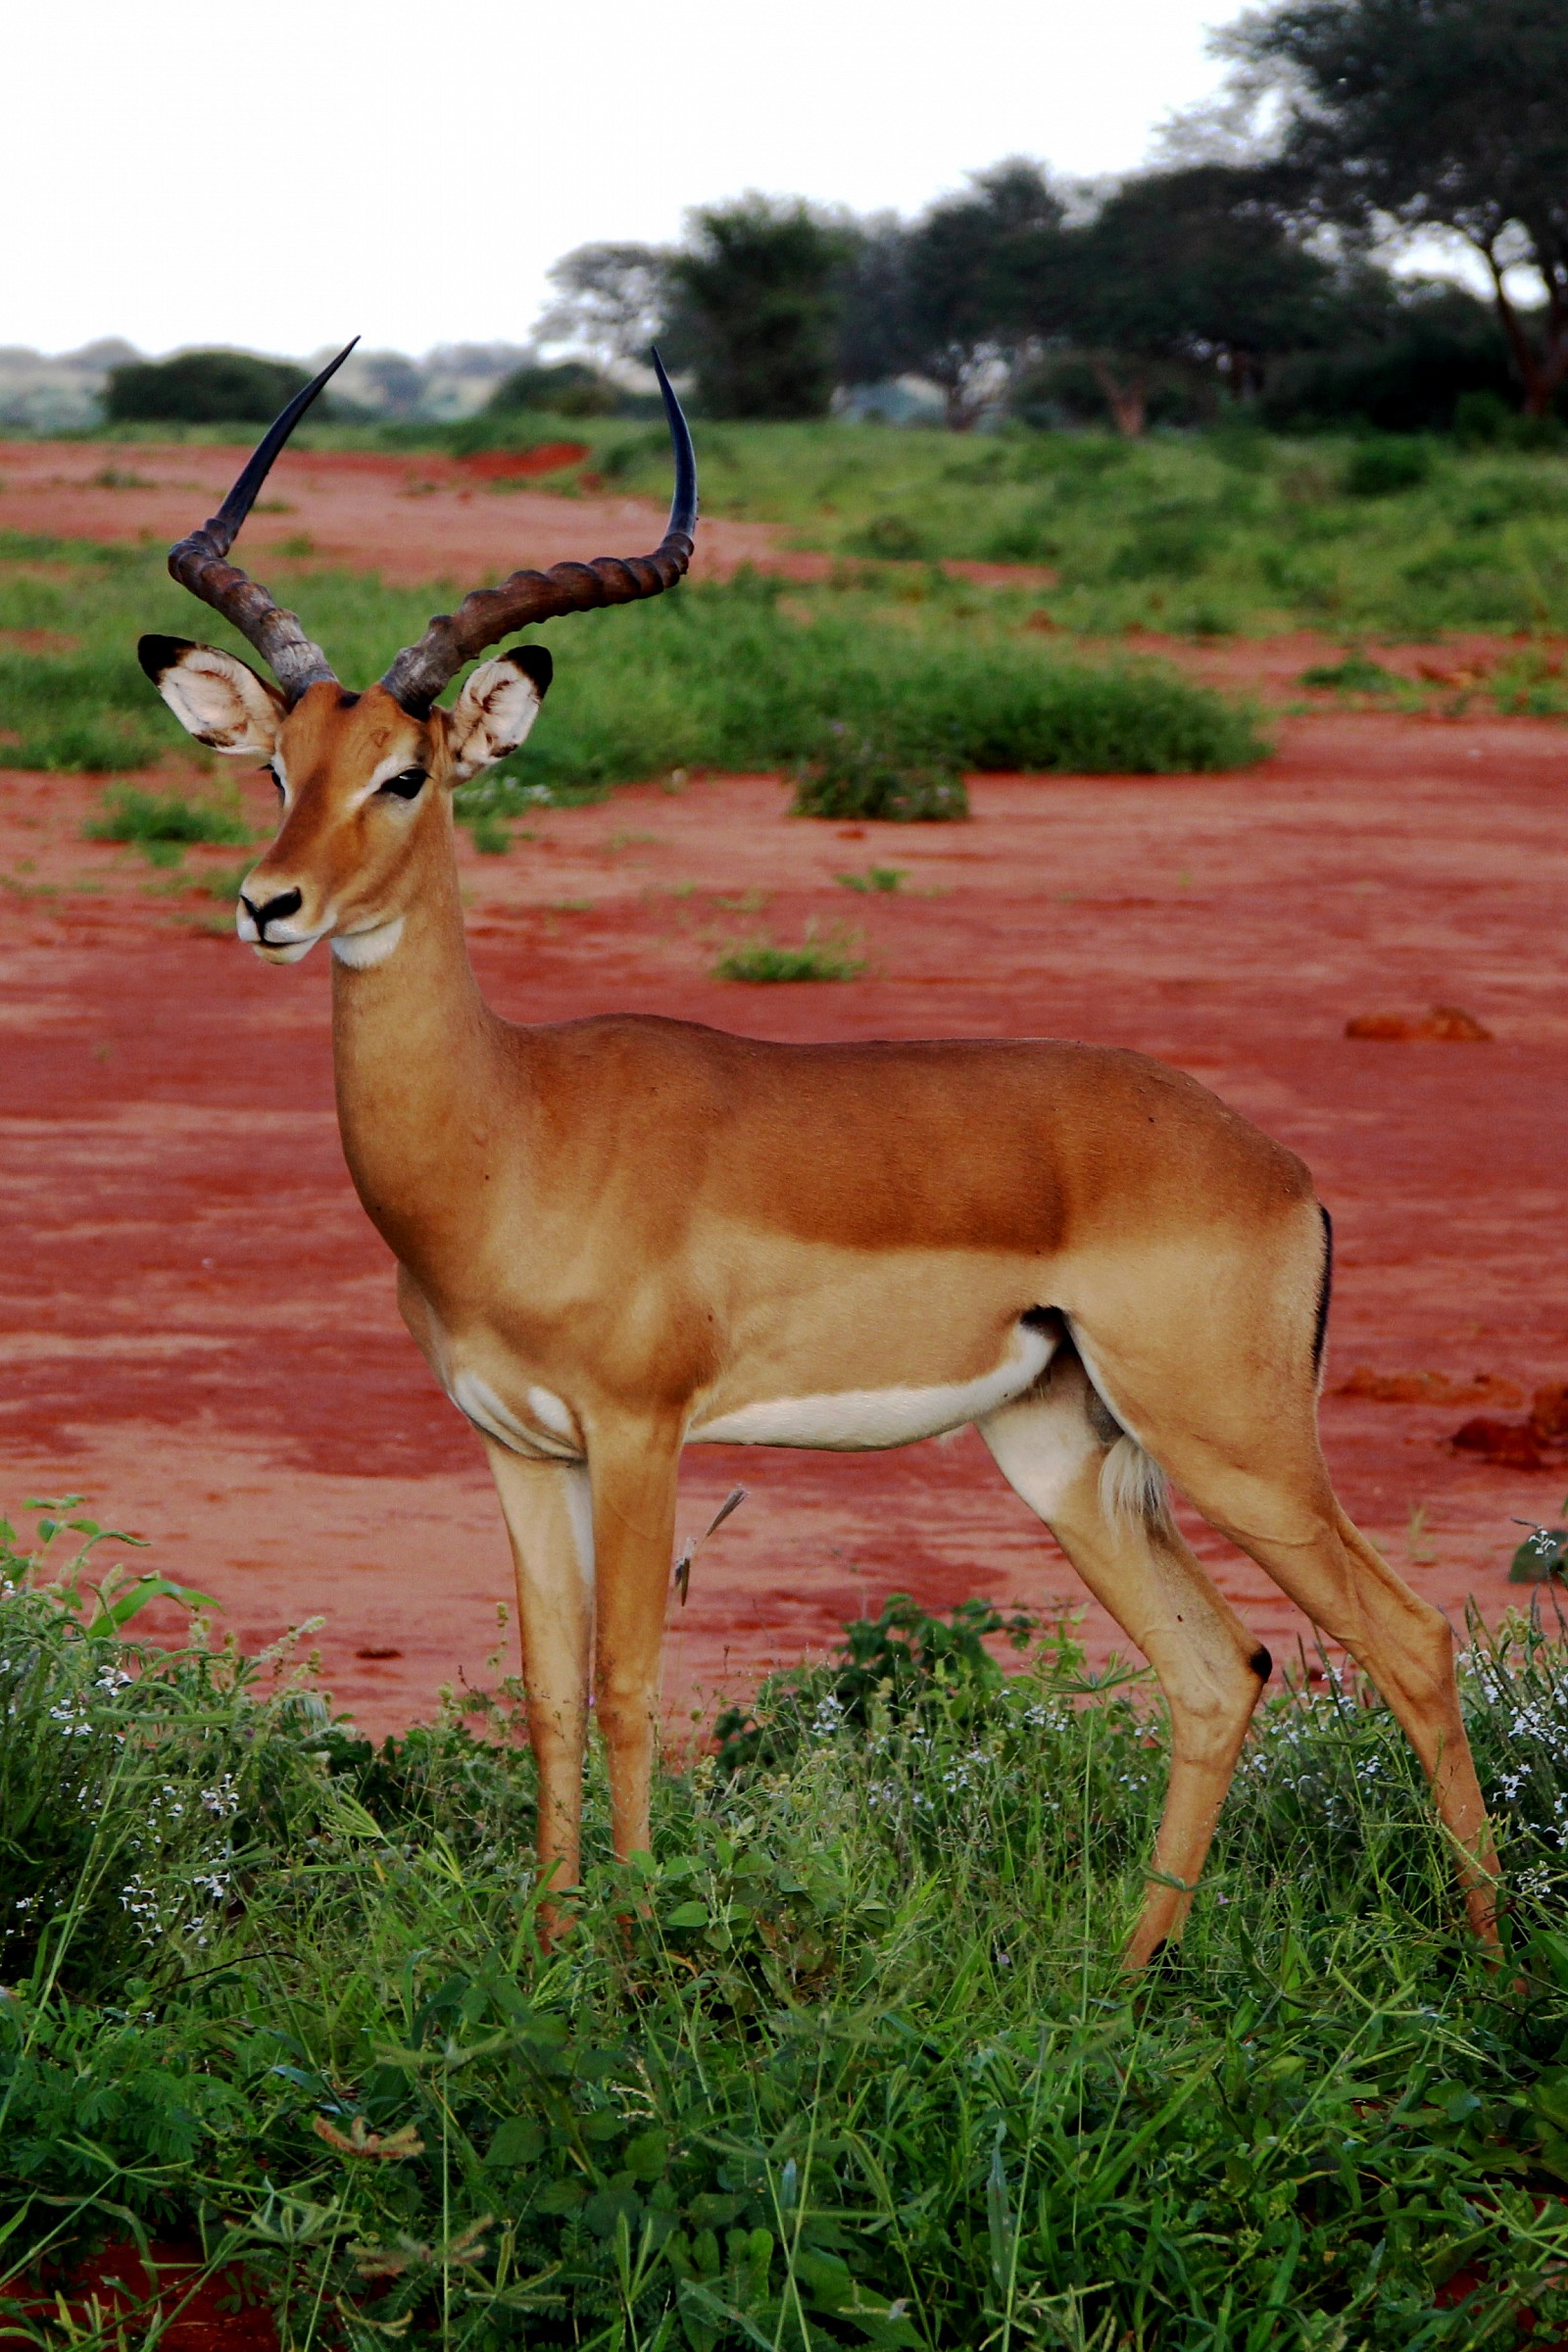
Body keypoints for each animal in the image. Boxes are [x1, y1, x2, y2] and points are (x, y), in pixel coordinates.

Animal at [138, 343, 1499, 1964]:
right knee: (1220, 1670)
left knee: (1412, 1639)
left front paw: (633, 1969)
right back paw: (1129, 1976)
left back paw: (1489, 1967)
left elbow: (626, 1687)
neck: (516, 1126)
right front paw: (548, 1961)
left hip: (1237, 1444)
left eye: (406, 774)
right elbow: (543, 1698)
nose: (267, 905)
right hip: (1065, 1451)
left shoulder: (641, 1434)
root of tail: (1280, 1169)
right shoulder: (516, 1447)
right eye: (278, 763)